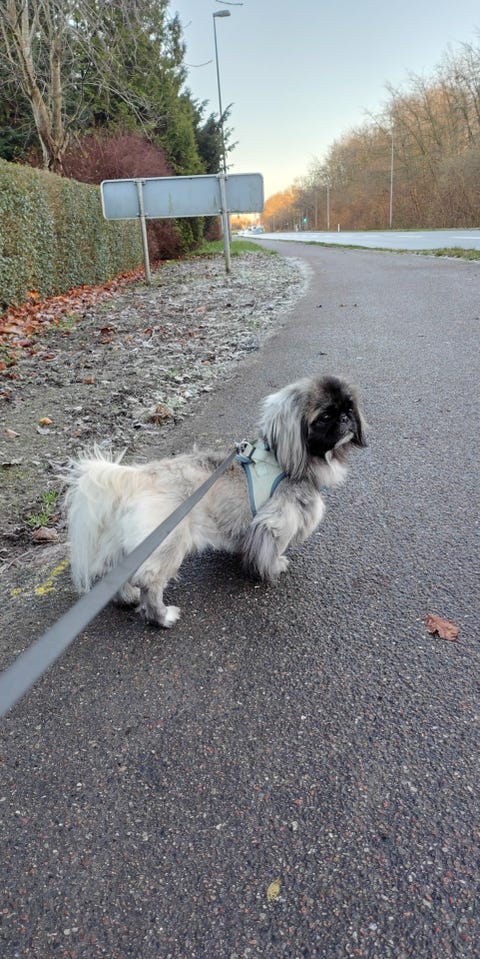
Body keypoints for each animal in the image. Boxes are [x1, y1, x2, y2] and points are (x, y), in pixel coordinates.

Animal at [65, 375, 366, 627]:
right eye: (325, 416)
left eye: (349, 408)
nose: (345, 418)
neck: (283, 461)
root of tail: (137, 476)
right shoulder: (277, 523)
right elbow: (273, 550)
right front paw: (275, 566)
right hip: (169, 543)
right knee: (149, 581)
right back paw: (162, 617)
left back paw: (126, 598)